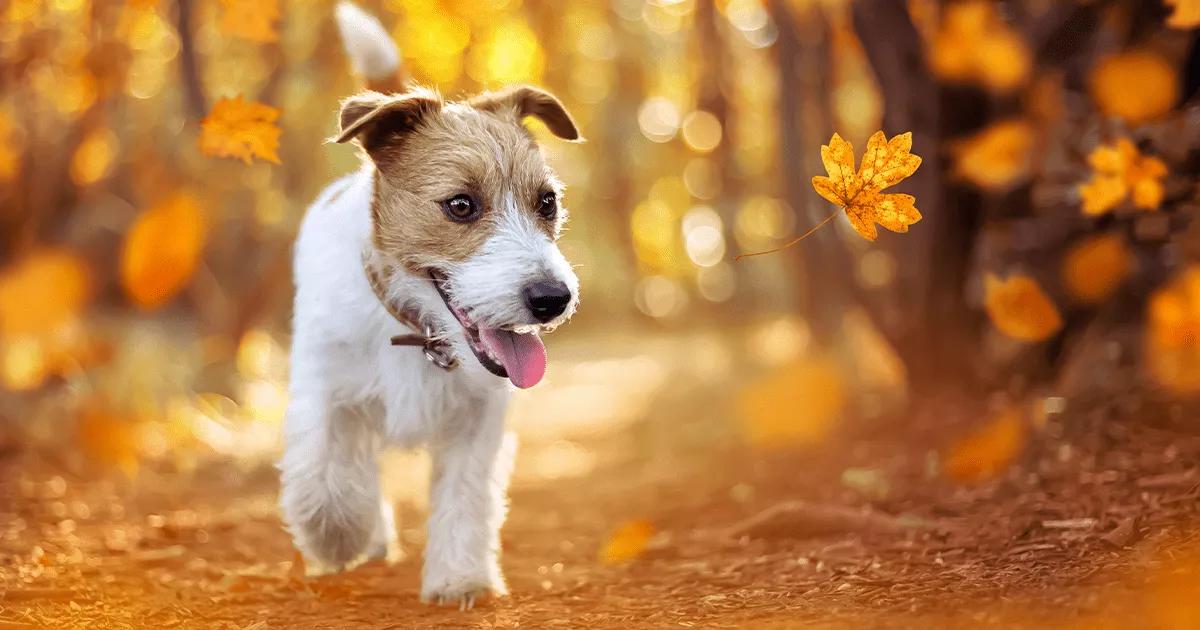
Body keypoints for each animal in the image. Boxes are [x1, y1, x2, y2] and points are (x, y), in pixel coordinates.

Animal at [280, 2, 580, 607]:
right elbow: (324, 472)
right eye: (460, 205)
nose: (551, 298)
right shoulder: (326, 392)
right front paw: (335, 536)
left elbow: (466, 497)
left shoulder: (478, 419)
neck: (417, 331)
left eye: (547, 202)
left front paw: (459, 577)